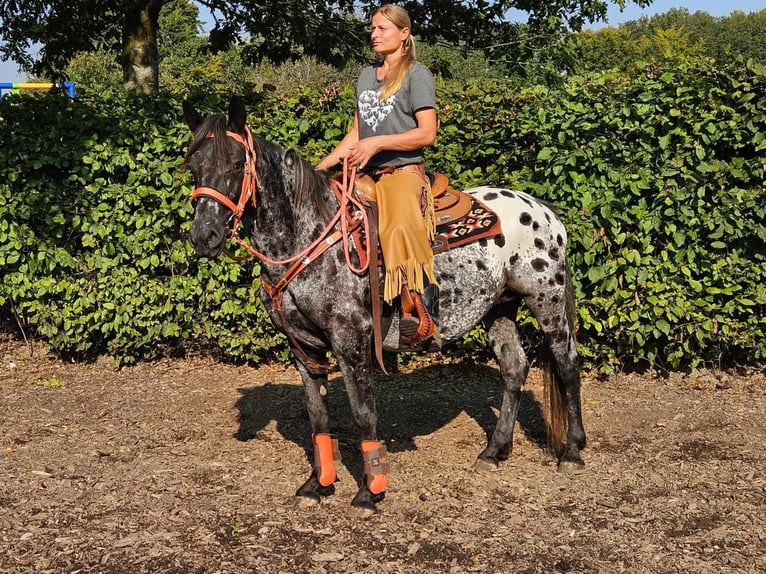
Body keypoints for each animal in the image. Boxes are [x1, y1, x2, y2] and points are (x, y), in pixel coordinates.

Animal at [182, 99, 588, 516]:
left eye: (235, 164)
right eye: (193, 165)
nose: (203, 236)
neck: (309, 238)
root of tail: (544, 211)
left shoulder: (350, 338)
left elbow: (363, 412)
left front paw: (369, 490)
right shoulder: (304, 346)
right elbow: (317, 416)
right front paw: (317, 484)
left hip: (547, 300)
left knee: (567, 364)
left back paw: (572, 452)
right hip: (498, 308)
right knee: (514, 368)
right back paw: (494, 451)